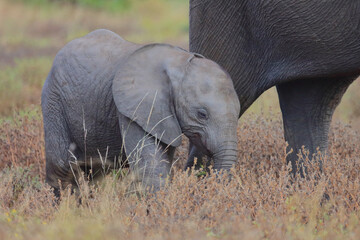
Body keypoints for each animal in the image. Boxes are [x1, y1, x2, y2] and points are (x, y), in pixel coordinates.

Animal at [41, 29, 239, 194]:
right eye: (202, 114)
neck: (180, 61)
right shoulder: (136, 108)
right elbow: (152, 167)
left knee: (95, 171)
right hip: (54, 101)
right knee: (61, 166)